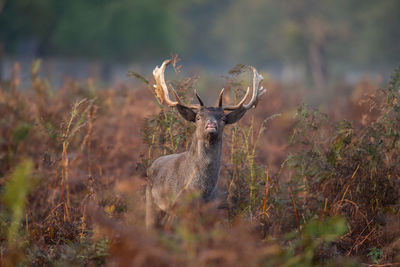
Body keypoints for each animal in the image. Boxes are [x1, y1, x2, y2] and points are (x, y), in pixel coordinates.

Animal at [145, 59, 264, 228]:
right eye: (198, 117)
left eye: (223, 118)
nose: (211, 125)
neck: (201, 192)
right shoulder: (180, 208)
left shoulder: (212, 210)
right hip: (152, 205)